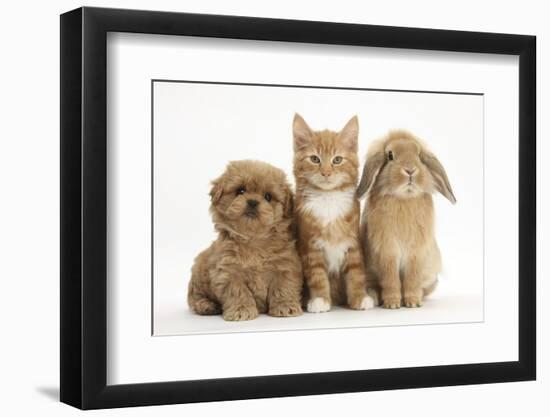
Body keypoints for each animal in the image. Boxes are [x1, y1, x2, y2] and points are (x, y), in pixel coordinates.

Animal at [188, 161, 304, 320]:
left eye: (268, 196)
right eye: (240, 191)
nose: (253, 202)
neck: (253, 240)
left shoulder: (285, 267)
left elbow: (283, 287)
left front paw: (286, 306)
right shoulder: (228, 272)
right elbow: (238, 291)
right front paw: (241, 310)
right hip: (198, 274)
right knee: (195, 297)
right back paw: (207, 306)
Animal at [294, 114, 376, 312]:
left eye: (337, 160)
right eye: (314, 159)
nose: (326, 172)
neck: (328, 198)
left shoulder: (352, 242)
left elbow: (356, 273)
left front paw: (360, 297)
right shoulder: (310, 246)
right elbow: (317, 276)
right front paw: (320, 300)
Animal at [358, 130, 458, 308]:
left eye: (418, 155)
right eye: (390, 155)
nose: (410, 170)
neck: (404, 198)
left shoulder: (416, 253)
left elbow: (412, 278)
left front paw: (412, 302)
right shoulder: (388, 252)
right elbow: (390, 279)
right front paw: (392, 304)